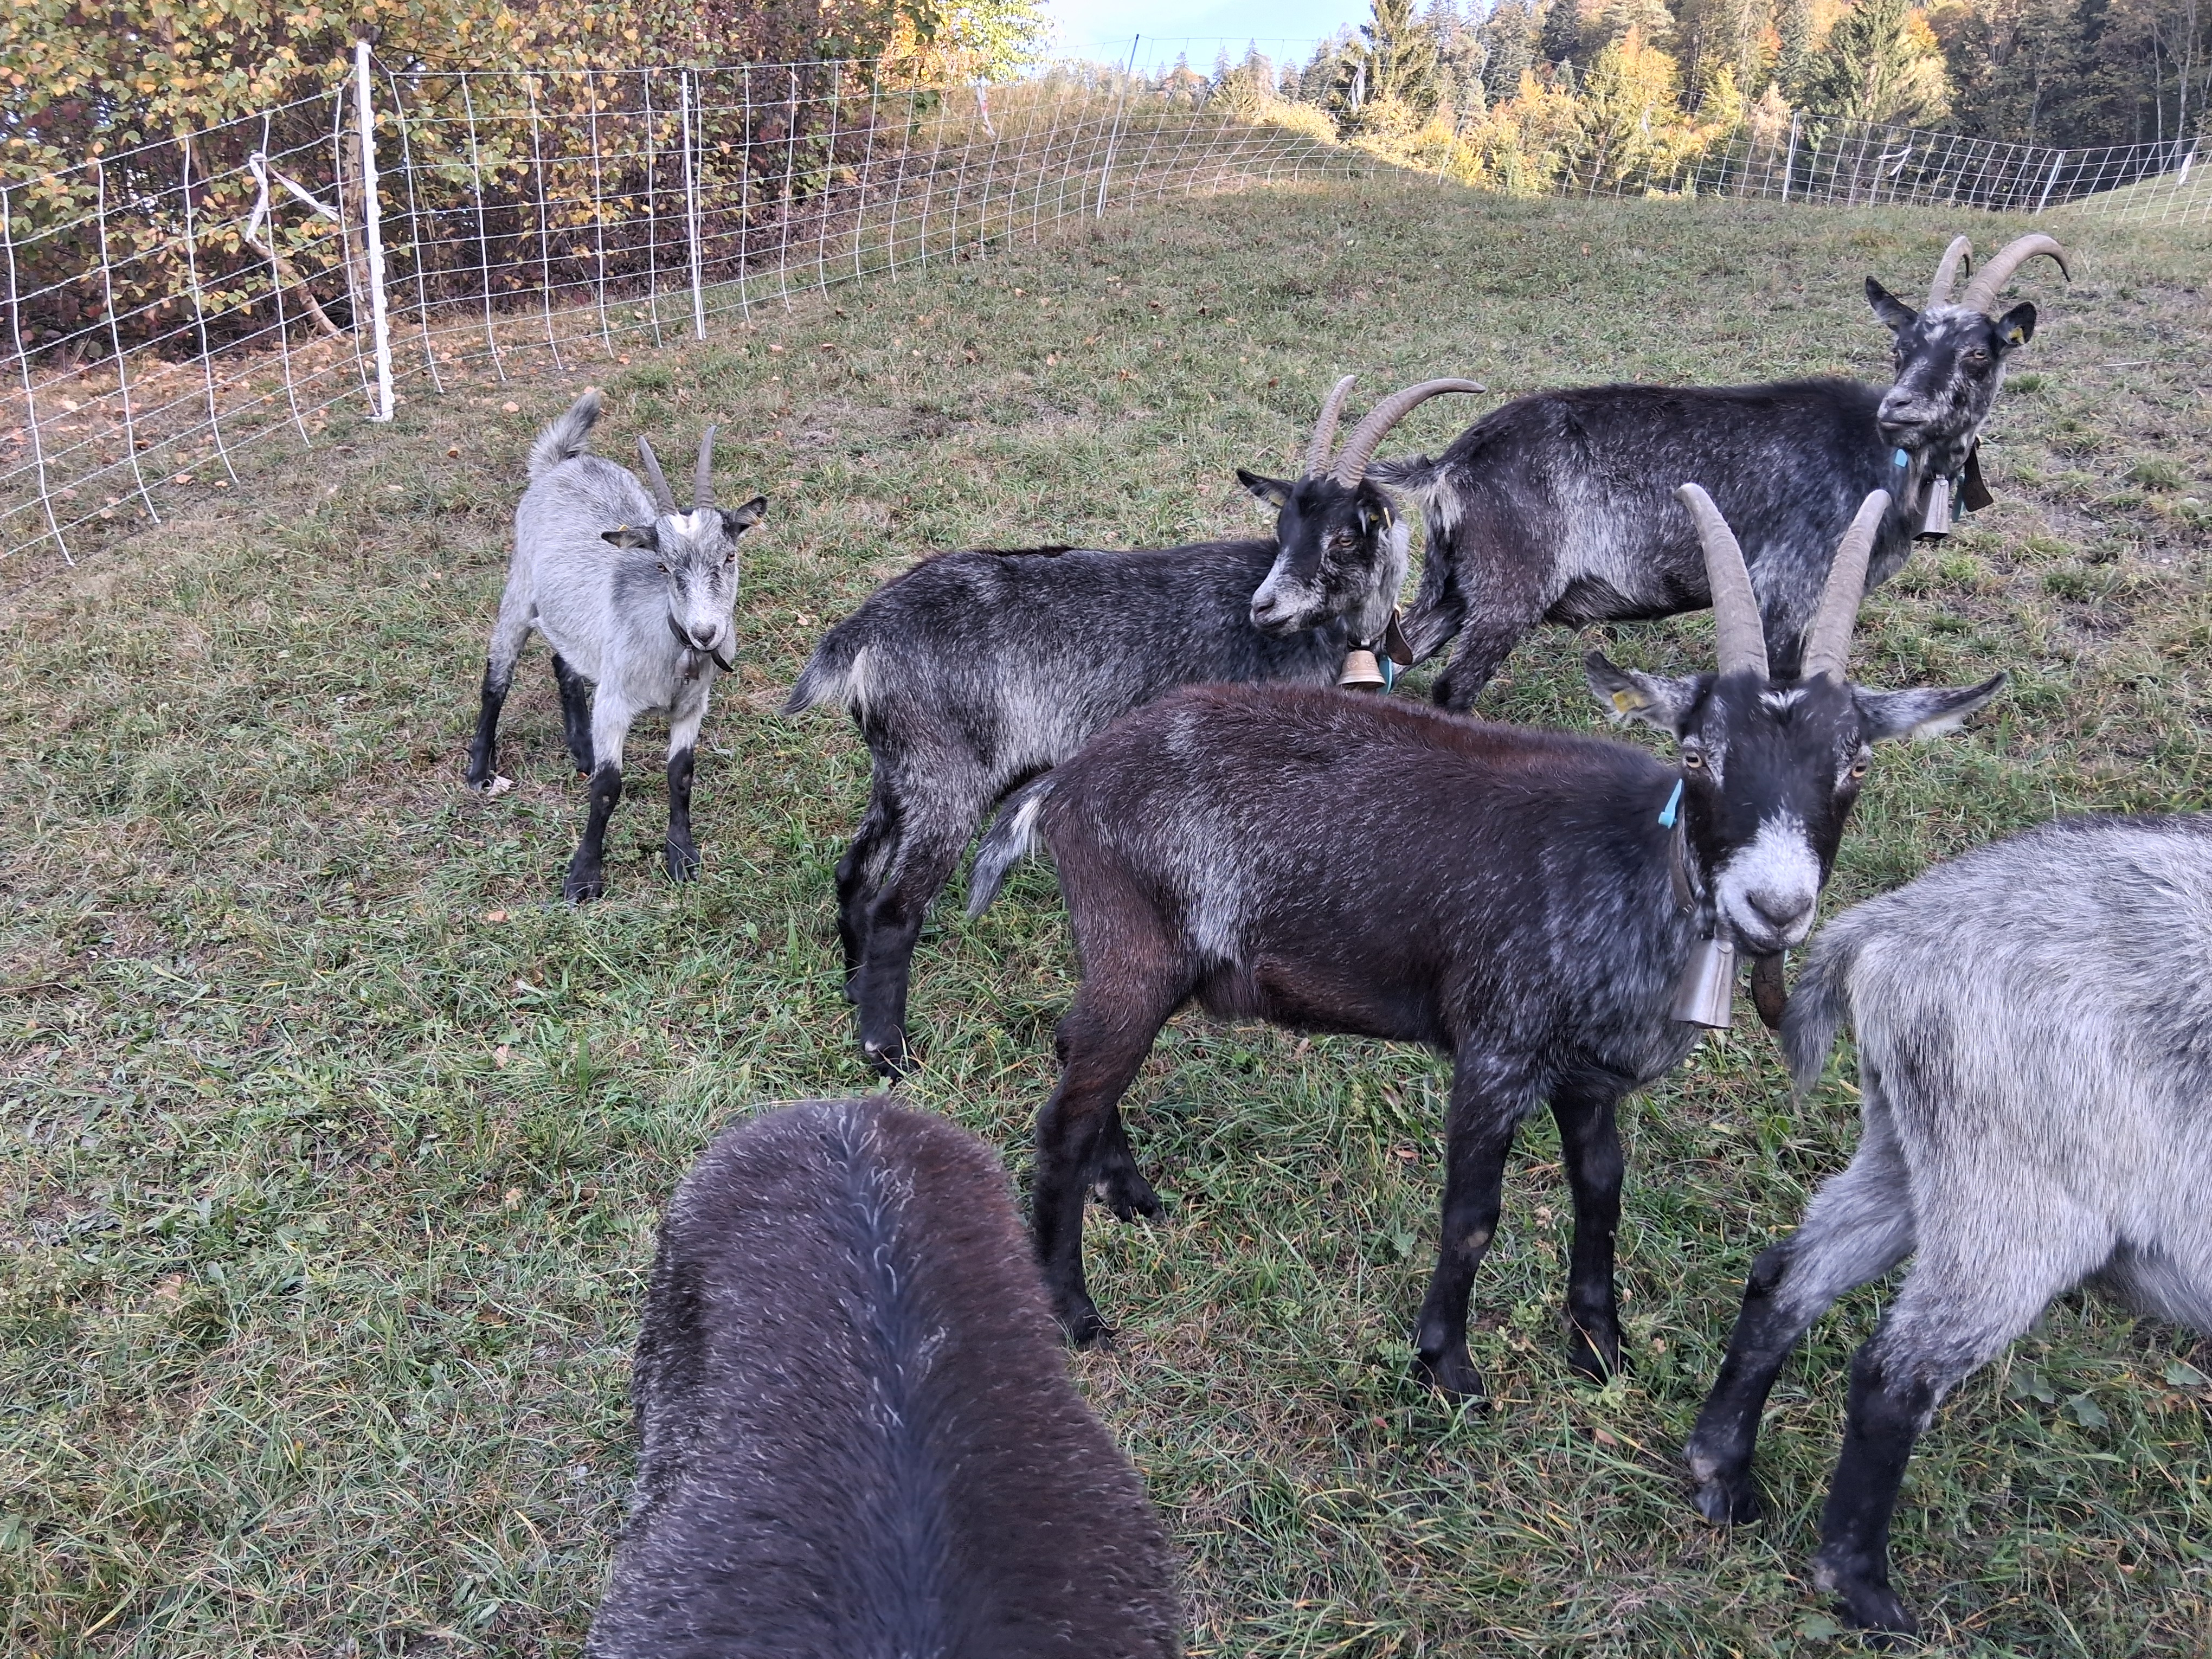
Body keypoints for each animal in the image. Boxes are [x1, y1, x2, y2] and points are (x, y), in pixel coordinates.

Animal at [464, 389, 767, 900]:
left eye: (729, 556)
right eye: (664, 566)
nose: (706, 633)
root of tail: (560, 464)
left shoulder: (692, 706)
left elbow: (681, 774)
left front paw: (682, 856)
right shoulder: (615, 703)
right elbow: (608, 787)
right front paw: (584, 876)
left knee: (563, 661)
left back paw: (581, 748)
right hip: (520, 590)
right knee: (497, 677)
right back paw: (481, 770)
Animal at [784, 375, 1482, 1074]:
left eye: (1342, 536)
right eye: (1285, 529)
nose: (1265, 608)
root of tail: (863, 636)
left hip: (898, 770)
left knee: (853, 873)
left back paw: (855, 990)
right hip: (947, 781)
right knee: (895, 907)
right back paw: (887, 1049)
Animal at [967, 485, 2002, 1398]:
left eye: (1854, 762)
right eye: (1697, 754)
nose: (1776, 904)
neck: (1632, 868)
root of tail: (1066, 785)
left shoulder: (1590, 1077)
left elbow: (1602, 1192)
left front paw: (1600, 1349)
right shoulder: (1498, 1049)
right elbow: (1473, 1213)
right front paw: (1451, 1369)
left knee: (1073, 1050)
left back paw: (1128, 1192)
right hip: (1138, 951)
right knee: (1062, 1116)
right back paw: (1074, 1311)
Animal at [1376, 233, 2067, 708]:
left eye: (1978, 353)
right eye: (1902, 349)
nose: (1899, 409)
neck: (1875, 458)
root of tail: (1453, 463)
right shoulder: (1787, 591)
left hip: (1456, 587)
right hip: (1510, 592)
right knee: (1452, 689)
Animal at [1683, 814, 2212, 1641]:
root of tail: (1893, 927)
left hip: (1910, 1152)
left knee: (1787, 1281)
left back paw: (1723, 1474)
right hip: (2018, 1195)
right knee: (1895, 1375)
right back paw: (1865, 1594)